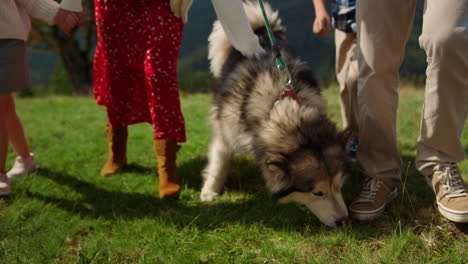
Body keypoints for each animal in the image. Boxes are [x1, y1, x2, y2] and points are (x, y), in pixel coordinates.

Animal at [201, 0, 352, 227]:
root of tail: (262, 32)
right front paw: (210, 191)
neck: (280, 105)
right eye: (317, 193)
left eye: (338, 185)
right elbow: (219, 160)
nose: (343, 220)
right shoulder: (226, 129)